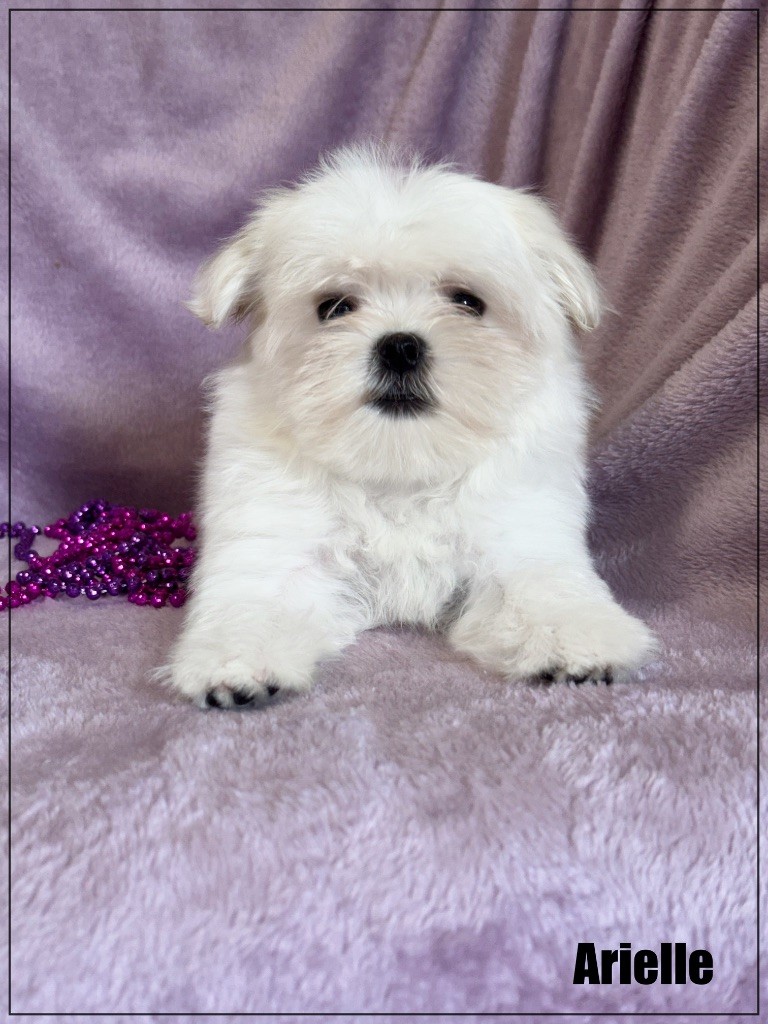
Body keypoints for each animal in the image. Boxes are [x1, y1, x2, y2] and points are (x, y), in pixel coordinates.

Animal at [160, 144, 656, 709]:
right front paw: (234, 662)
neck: (400, 463)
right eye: (334, 307)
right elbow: (256, 599)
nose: (399, 346)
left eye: (467, 301)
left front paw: (579, 640)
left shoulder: (519, 533)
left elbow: (545, 588)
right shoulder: (275, 535)